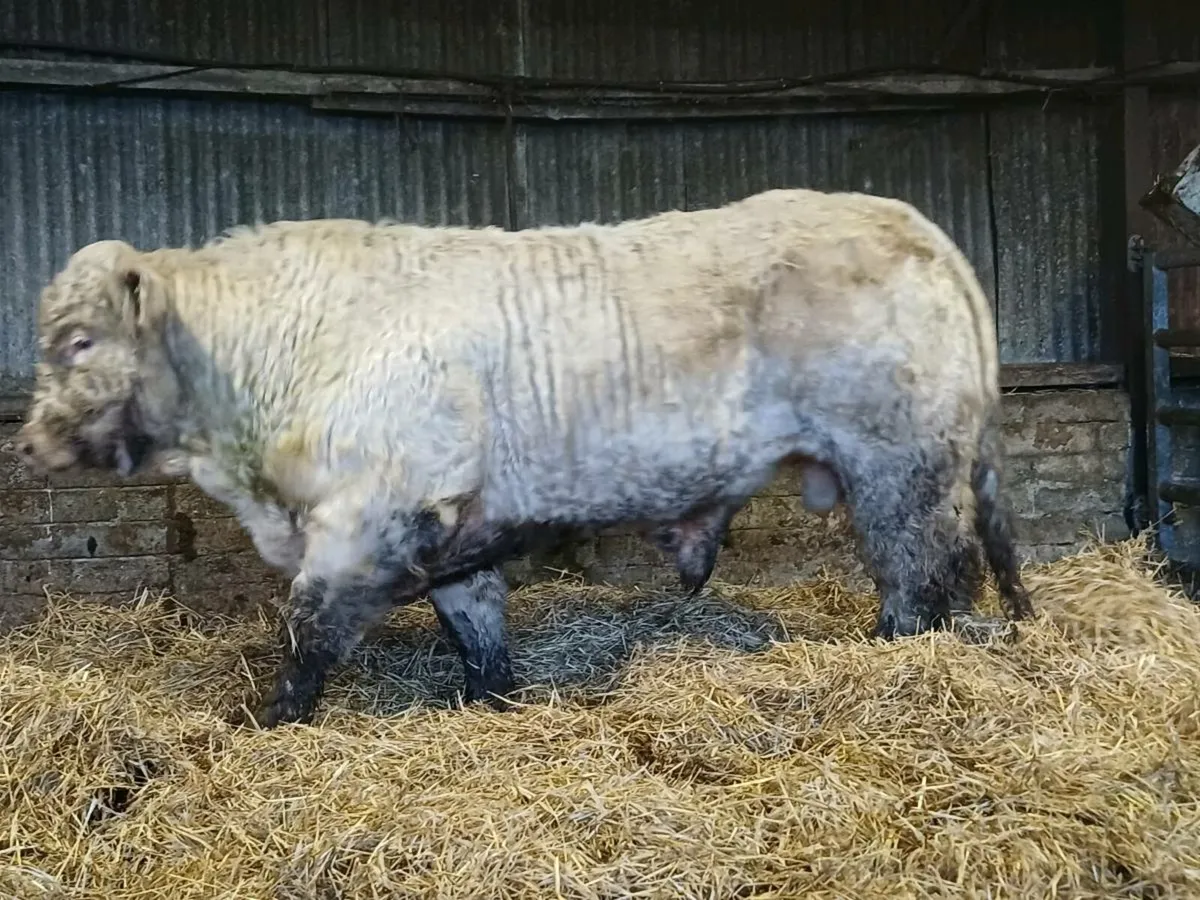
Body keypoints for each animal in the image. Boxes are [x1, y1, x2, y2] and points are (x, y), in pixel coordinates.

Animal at [9, 187, 1034, 728]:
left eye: (79, 343)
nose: (30, 440)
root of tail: (911, 225)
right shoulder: (457, 528)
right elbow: (476, 629)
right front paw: (487, 703)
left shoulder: (370, 514)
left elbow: (307, 630)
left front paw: (269, 721)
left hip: (899, 466)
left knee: (919, 581)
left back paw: (895, 661)